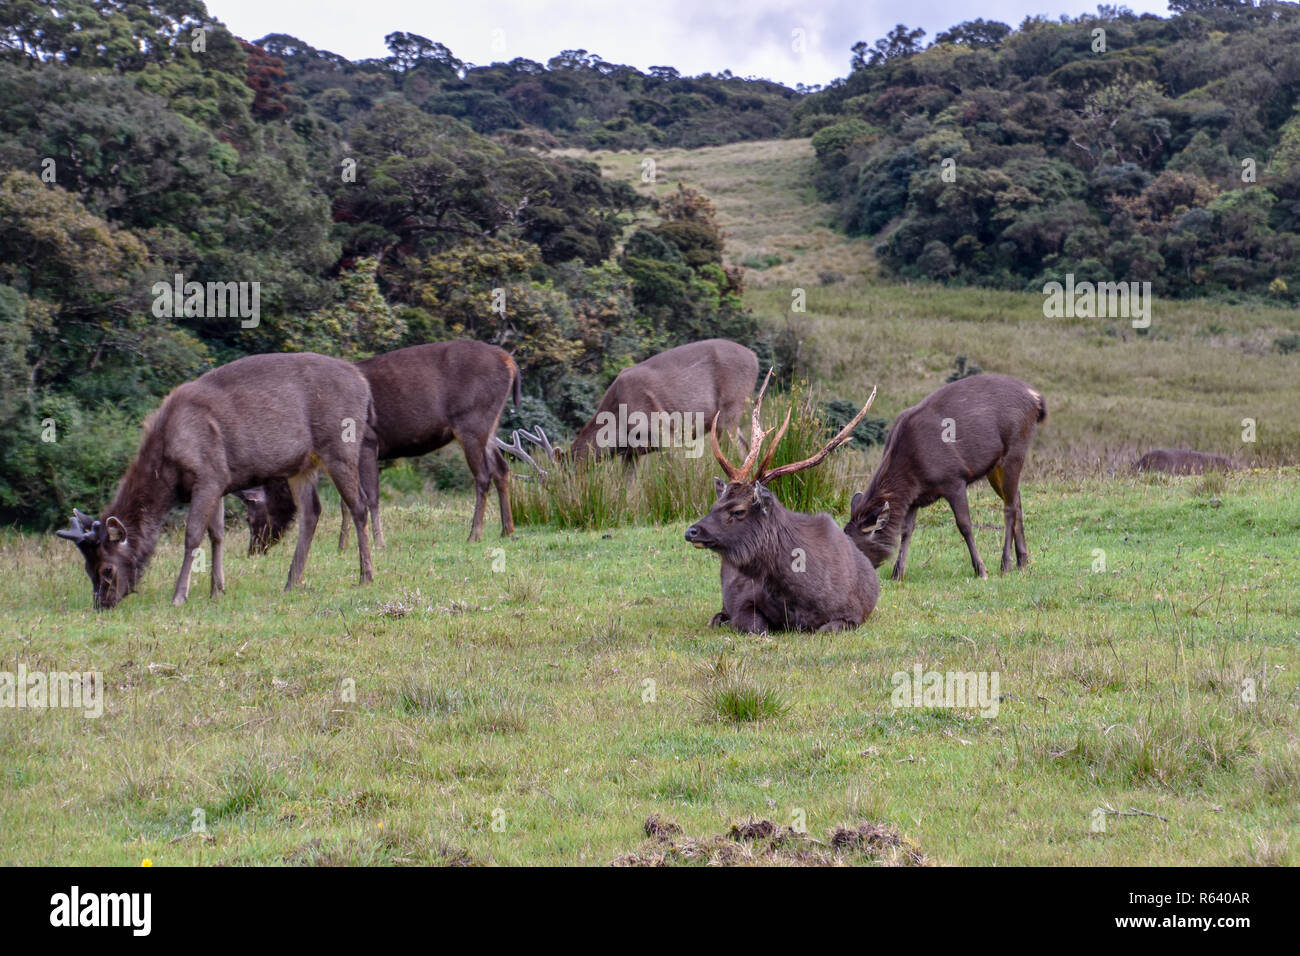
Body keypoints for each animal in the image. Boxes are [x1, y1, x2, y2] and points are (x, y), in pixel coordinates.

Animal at [58, 356, 379, 608]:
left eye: (107, 569)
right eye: (87, 569)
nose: (102, 604)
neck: (168, 469)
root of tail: (364, 385)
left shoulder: (208, 475)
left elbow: (193, 536)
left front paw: (180, 595)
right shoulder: (220, 482)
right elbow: (217, 534)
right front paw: (218, 589)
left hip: (339, 445)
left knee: (359, 504)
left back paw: (365, 575)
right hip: (303, 464)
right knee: (312, 511)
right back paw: (292, 581)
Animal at [681, 369, 883, 632]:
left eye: (738, 511)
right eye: (715, 504)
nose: (692, 531)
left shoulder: (852, 613)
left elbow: (825, 630)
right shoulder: (744, 599)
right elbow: (756, 627)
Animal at [842, 374, 1045, 582]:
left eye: (856, 547)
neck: (913, 474)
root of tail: (1035, 397)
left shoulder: (954, 479)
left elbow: (964, 525)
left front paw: (981, 569)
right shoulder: (914, 498)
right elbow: (906, 531)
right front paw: (897, 573)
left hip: (1015, 448)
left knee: (1009, 506)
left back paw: (1006, 564)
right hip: (995, 466)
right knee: (1016, 498)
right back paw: (1022, 561)